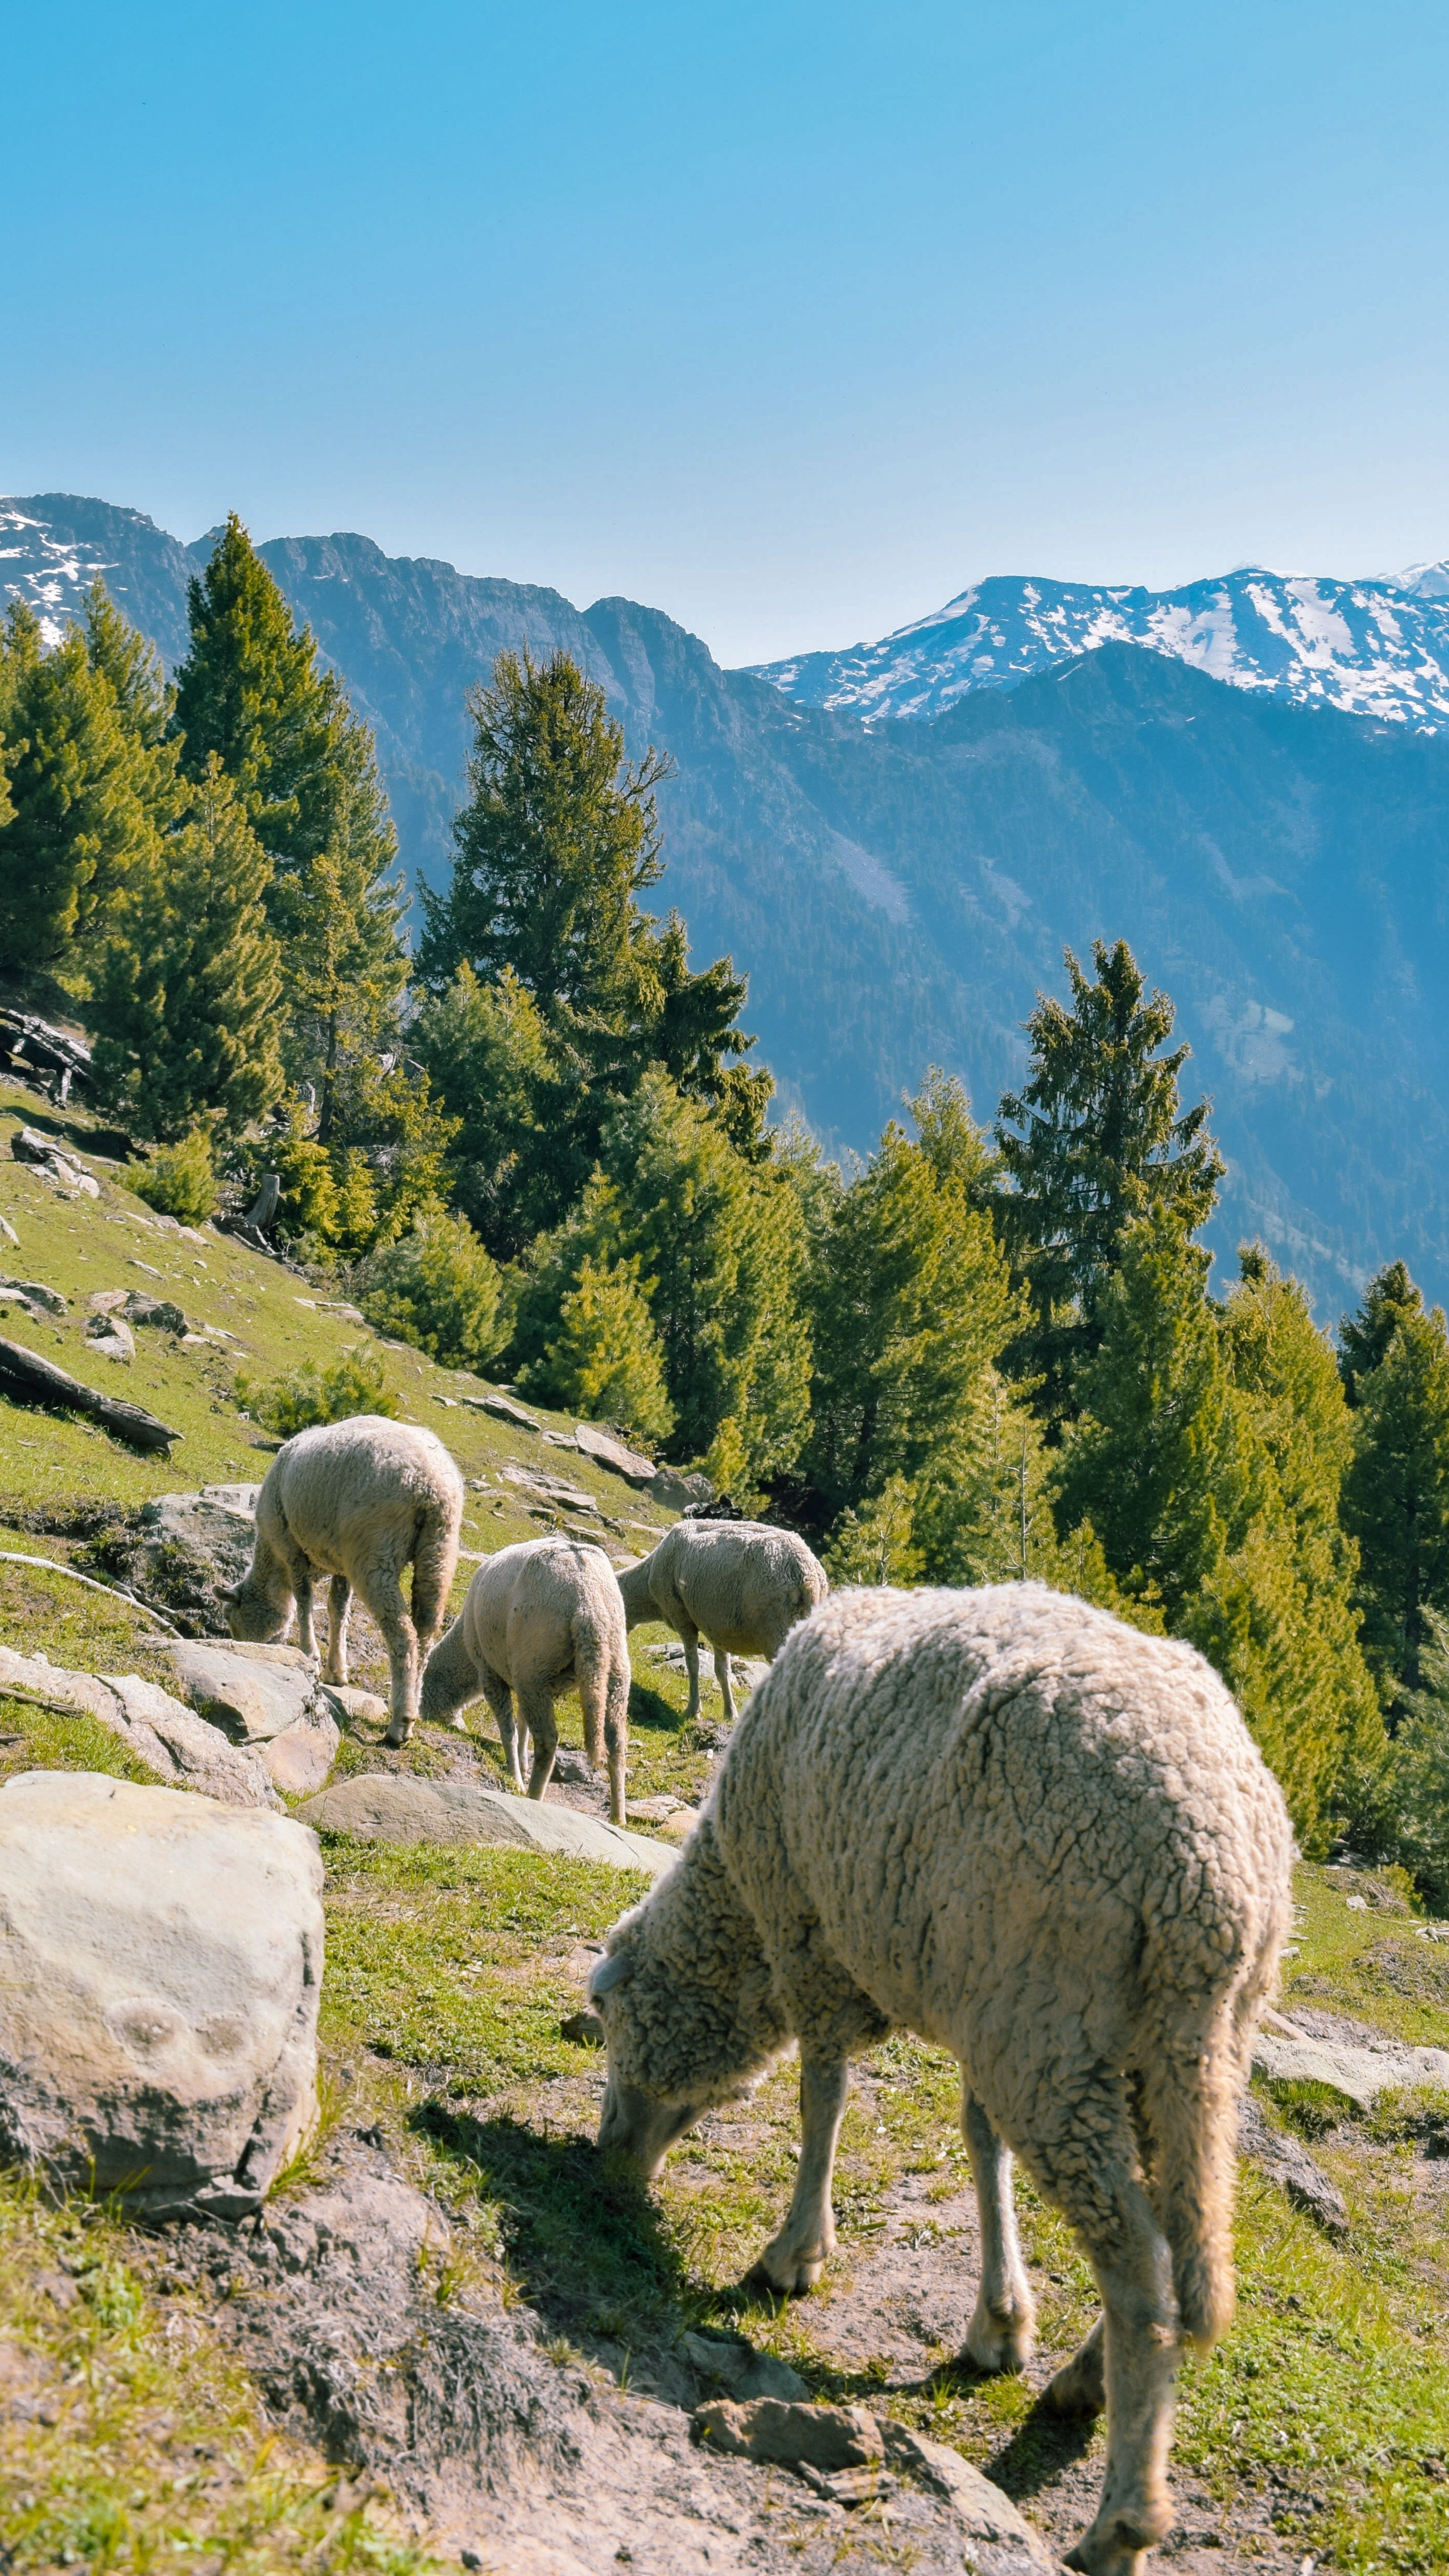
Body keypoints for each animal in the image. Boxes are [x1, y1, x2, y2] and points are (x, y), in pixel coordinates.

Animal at [222, 1415, 464, 1748]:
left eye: (233, 1622)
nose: (253, 1652)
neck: (273, 1562)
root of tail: (430, 1482)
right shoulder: (341, 1565)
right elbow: (338, 1610)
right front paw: (336, 1672)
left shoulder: (292, 1547)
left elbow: (305, 1601)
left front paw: (309, 1655)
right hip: (440, 1549)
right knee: (426, 1632)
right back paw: (414, 1705)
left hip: (374, 1550)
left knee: (403, 1634)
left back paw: (400, 1724)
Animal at [420, 1536, 631, 1823]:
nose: (420, 1716)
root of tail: (587, 1600)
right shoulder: (521, 1681)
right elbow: (523, 1726)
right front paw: (522, 1762)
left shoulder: (491, 1672)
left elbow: (508, 1729)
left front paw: (516, 1775)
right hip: (614, 1669)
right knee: (617, 1743)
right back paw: (618, 1817)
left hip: (535, 1662)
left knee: (548, 1741)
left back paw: (533, 1797)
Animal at [588, 1582, 1294, 2576]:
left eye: (610, 2025)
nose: (606, 2164)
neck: (740, 1915)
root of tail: (1211, 1876)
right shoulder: (967, 2000)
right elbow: (978, 2142)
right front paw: (999, 2321)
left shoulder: (812, 1933)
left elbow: (822, 2095)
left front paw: (794, 2253)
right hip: (1173, 2048)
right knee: (1182, 2249)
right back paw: (1085, 2379)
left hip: (1053, 2029)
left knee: (1139, 2269)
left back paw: (1121, 2520)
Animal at [615, 1518, 827, 1725]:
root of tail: (807, 1574)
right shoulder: (718, 1628)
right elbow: (722, 1671)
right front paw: (730, 1713)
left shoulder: (681, 1616)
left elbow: (693, 1663)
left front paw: (693, 1710)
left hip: (778, 1630)